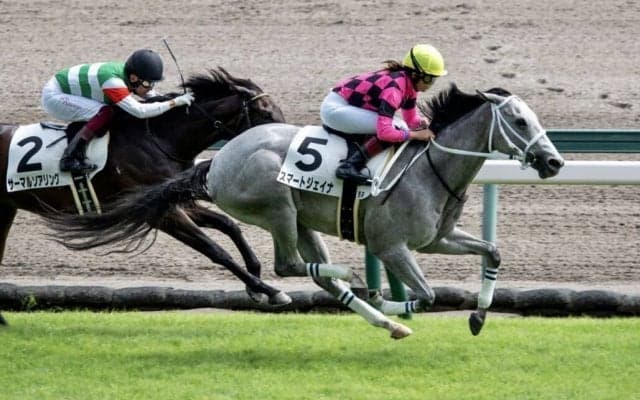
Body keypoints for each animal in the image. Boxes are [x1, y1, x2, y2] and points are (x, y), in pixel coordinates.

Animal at [0, 67, 291, 325]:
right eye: (265, 112)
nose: (289, 144)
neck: (160, 139)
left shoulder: (173, 200)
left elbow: (229, 225)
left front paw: (256, 281)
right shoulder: (161, 213)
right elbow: (214, 249)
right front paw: (270, 290)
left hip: (6, 209)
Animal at [45, 84, 565, 338]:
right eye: (520, 122)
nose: (554, 162)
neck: (430, 166)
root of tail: (216, 162)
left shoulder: (437, 240)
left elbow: (493, 252)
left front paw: (478, 317)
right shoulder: (392, 246)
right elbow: (429, 295)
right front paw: (390, 298)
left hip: (302, 219)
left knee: (314, 273)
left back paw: (388, 323)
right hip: (275, 206)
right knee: (288, 265)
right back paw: (349, 287)